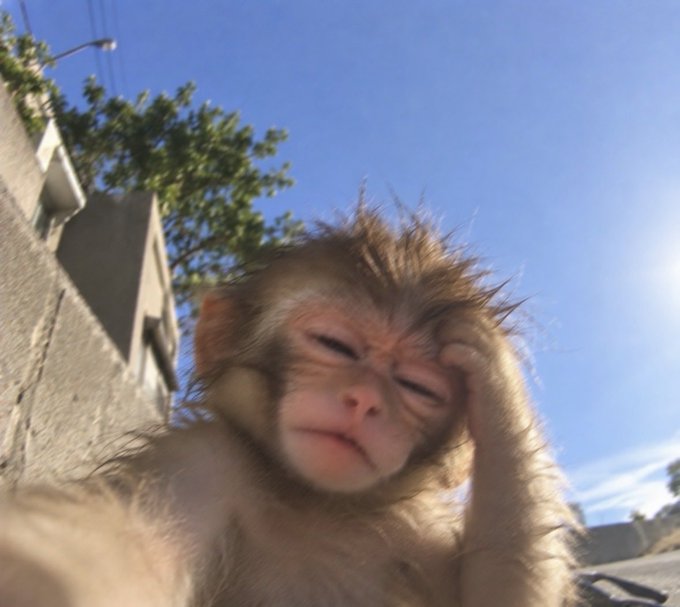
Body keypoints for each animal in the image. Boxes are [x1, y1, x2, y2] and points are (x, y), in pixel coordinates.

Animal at [0, 206, 575, 606]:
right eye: (334, 345)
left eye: (418, 388)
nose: (364, 400)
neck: (312, 502)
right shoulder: (203, 458)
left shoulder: (423, 531)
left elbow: (502, 590)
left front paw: (493, 366)